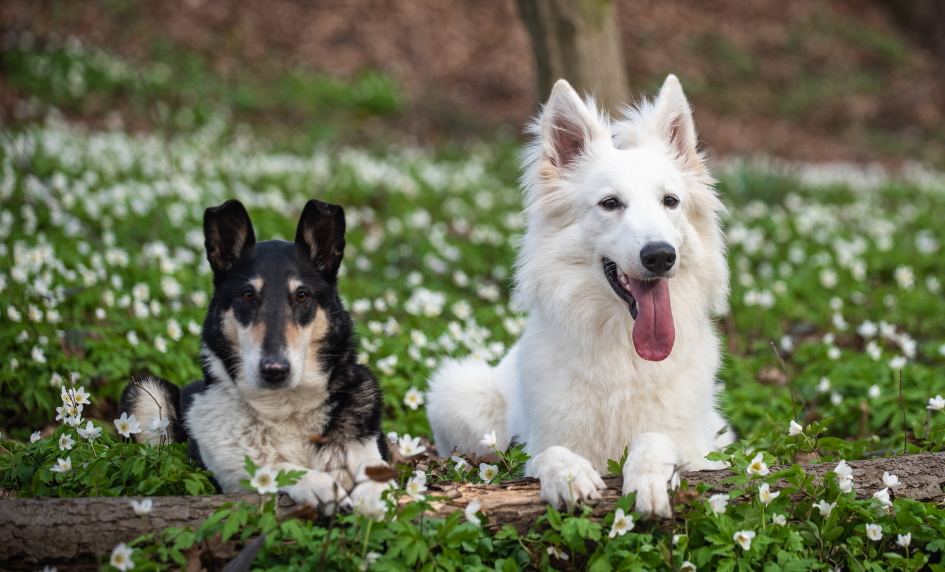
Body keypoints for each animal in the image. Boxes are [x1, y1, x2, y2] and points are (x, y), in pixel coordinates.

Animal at [119, 199, 390, 512]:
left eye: (301, 296)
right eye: (248, 295)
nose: (274, 370)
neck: (285, 406)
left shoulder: (364, 449)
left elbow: (375, 476)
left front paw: (373, 499)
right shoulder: (231, 479)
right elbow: (271, 467)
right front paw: (319, 484)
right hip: (146, 393)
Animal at [426, 73, 732, 516]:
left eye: (670, 201)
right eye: (610, 203)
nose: (660, 255)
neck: (625, 352)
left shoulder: (699, 449)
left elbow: (656, 439)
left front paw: (648, 477)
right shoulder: (538, 444)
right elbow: (549, 453)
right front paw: (570, 477)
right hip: (457, 393)